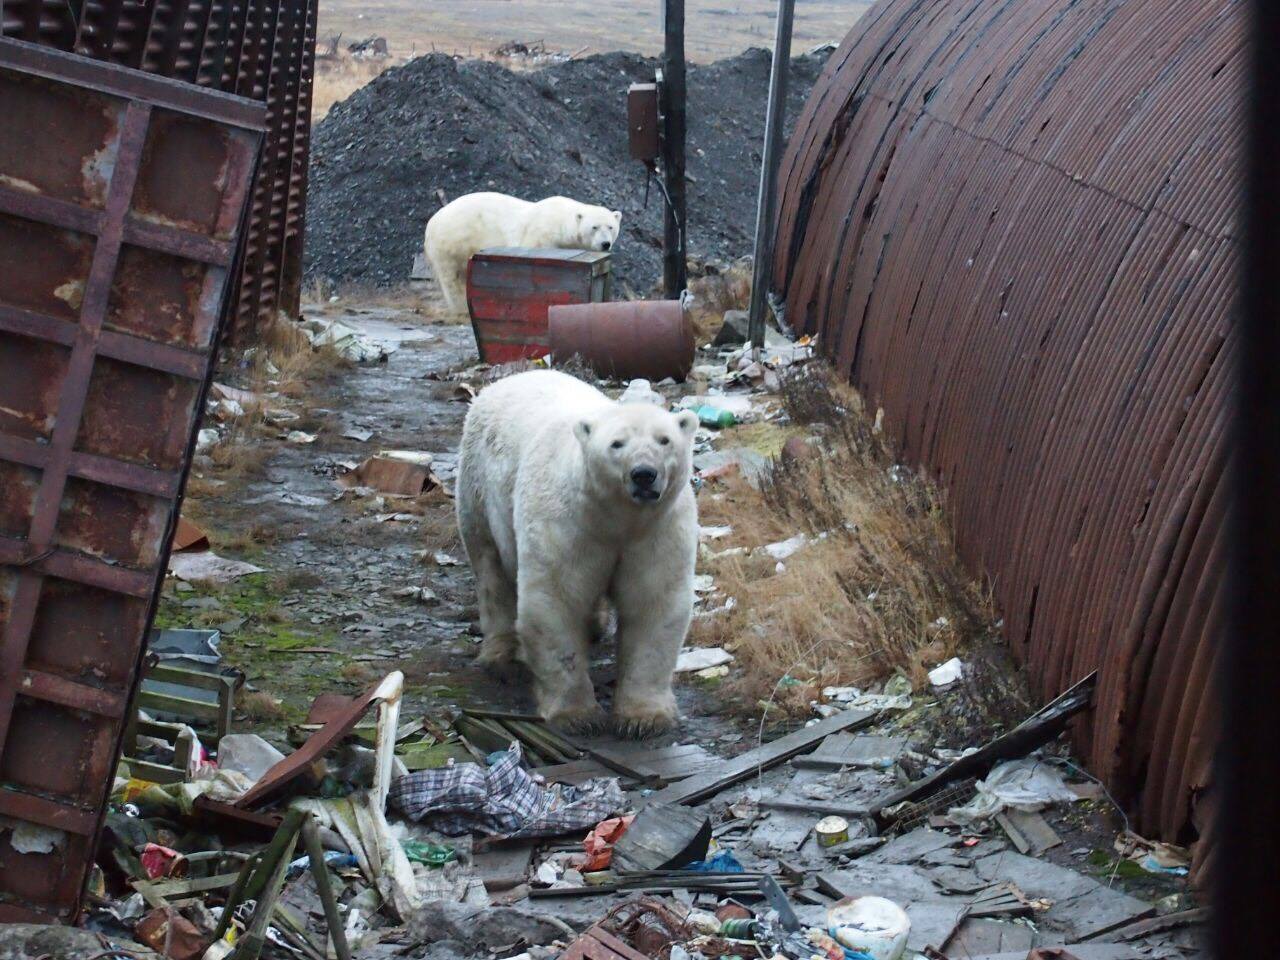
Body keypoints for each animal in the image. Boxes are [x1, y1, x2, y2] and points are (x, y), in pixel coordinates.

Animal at [422, 193, 622, 316]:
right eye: (594, 227)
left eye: (610, 227)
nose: (605, 244)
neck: (560, 221)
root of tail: (432, 221)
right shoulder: (540, 235)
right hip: (452, 241)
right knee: (452, 277)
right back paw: (461, 308)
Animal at [458, 371, 701, 737]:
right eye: (617, 444)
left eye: (664, 440)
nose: (644, 474)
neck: (617, 518)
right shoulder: (565, 525)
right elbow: (557, 601)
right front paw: (577, 716)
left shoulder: (658, 531)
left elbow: (653, 604)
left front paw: (644, 718)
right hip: (478, 488)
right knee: (490, 568)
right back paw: (501, 656)